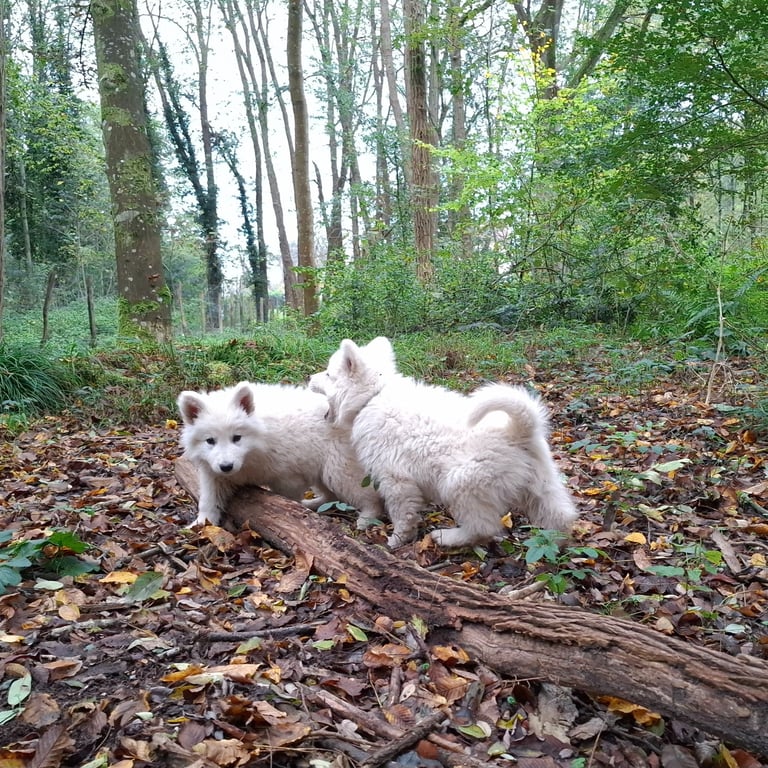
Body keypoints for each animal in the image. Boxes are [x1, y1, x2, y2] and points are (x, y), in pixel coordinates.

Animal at [177, 381, 384, 528]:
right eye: (210, 440)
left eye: (237, 438)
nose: (226, 466)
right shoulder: (212, 473)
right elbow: (208, 500)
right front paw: (201, 526)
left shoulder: (288, 478)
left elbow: (287, 500)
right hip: (324, 470)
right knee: (332, 496)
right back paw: (312, 504)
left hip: (339, 469)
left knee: (368, 497)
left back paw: (366, 519)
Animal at [310, 337, 577, 548]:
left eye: (328, 374)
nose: (309, 377)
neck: (373, 396)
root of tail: (518, 429)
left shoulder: (395, 479)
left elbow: (401, 514)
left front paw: (397, 540)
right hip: (542, 486)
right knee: (561, 517)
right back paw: (558, 543)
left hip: (461, 484)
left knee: (483, 527)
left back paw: (446, 537)